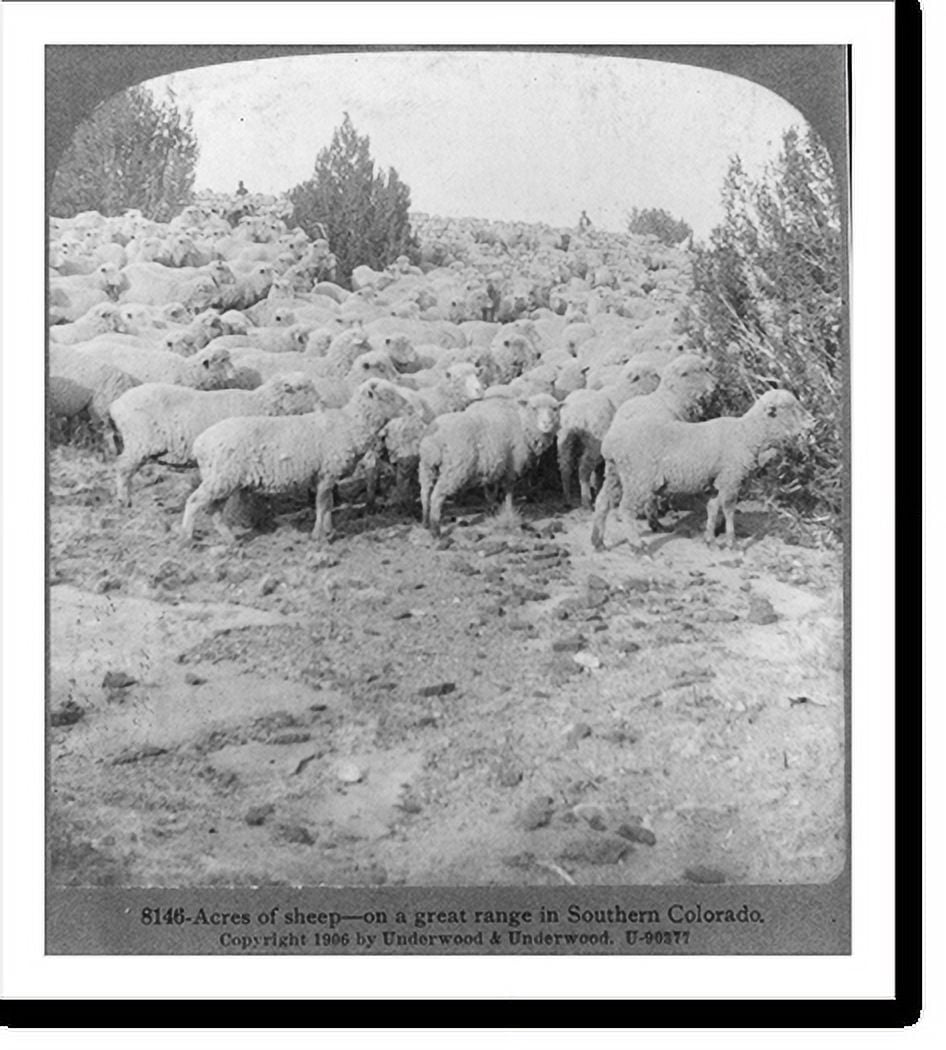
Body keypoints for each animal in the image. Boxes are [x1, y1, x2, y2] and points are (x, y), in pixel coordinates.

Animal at [110, 373, 322, 504]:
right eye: (304, 388)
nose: (322, 402)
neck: (261, 404)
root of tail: (117, 404)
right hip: (139, 441)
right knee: (122, 467)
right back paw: (124, 499)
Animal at [181, 377, 411, 545]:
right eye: (387, 395)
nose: (410, 407)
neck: (349, 424)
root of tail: (200, 443)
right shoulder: (326, 472)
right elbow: (322, 504)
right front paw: (318, 535)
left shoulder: (326, 476)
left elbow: (328, 504)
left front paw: (329, 531)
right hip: (222, 476)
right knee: (194, 501)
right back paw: (187, 537)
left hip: (223, 478)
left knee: (214, 510)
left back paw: (230, 539)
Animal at [418, 393, 561, 537]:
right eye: (534, 408)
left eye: (555, 409)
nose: (547, 423)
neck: (521, 420)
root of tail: (435, 439)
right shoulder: (511, 467)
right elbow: (508, 491)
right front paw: (508, 511)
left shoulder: (491, 467)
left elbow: (490, 492)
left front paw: (492, 511)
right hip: (455, 469)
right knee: (436, 496)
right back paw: (435, 530)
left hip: (427, 467)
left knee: (425, 493)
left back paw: (425, 522)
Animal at [557, 359, 662, 508]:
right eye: (654, 375)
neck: (629, 392)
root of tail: (574, 415)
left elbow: (599, 473)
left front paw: (598, 488)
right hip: (594, 444)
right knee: (583, 469)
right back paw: (586, 501)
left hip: (565, 440)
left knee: (565, 467)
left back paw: (568, 498)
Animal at [589, 389, 815, 551]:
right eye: (788, 407)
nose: (813, 422)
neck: (747, 435)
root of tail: (610, 443)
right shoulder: (730, 479)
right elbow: (729, 509)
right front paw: (732, 542)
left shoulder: (715, 482)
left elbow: (713, 508)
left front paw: (710, 540)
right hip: (639, 477)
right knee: (625, 509)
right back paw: (637, 545)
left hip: (615, 473)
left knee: (602, 502)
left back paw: (597, 541)